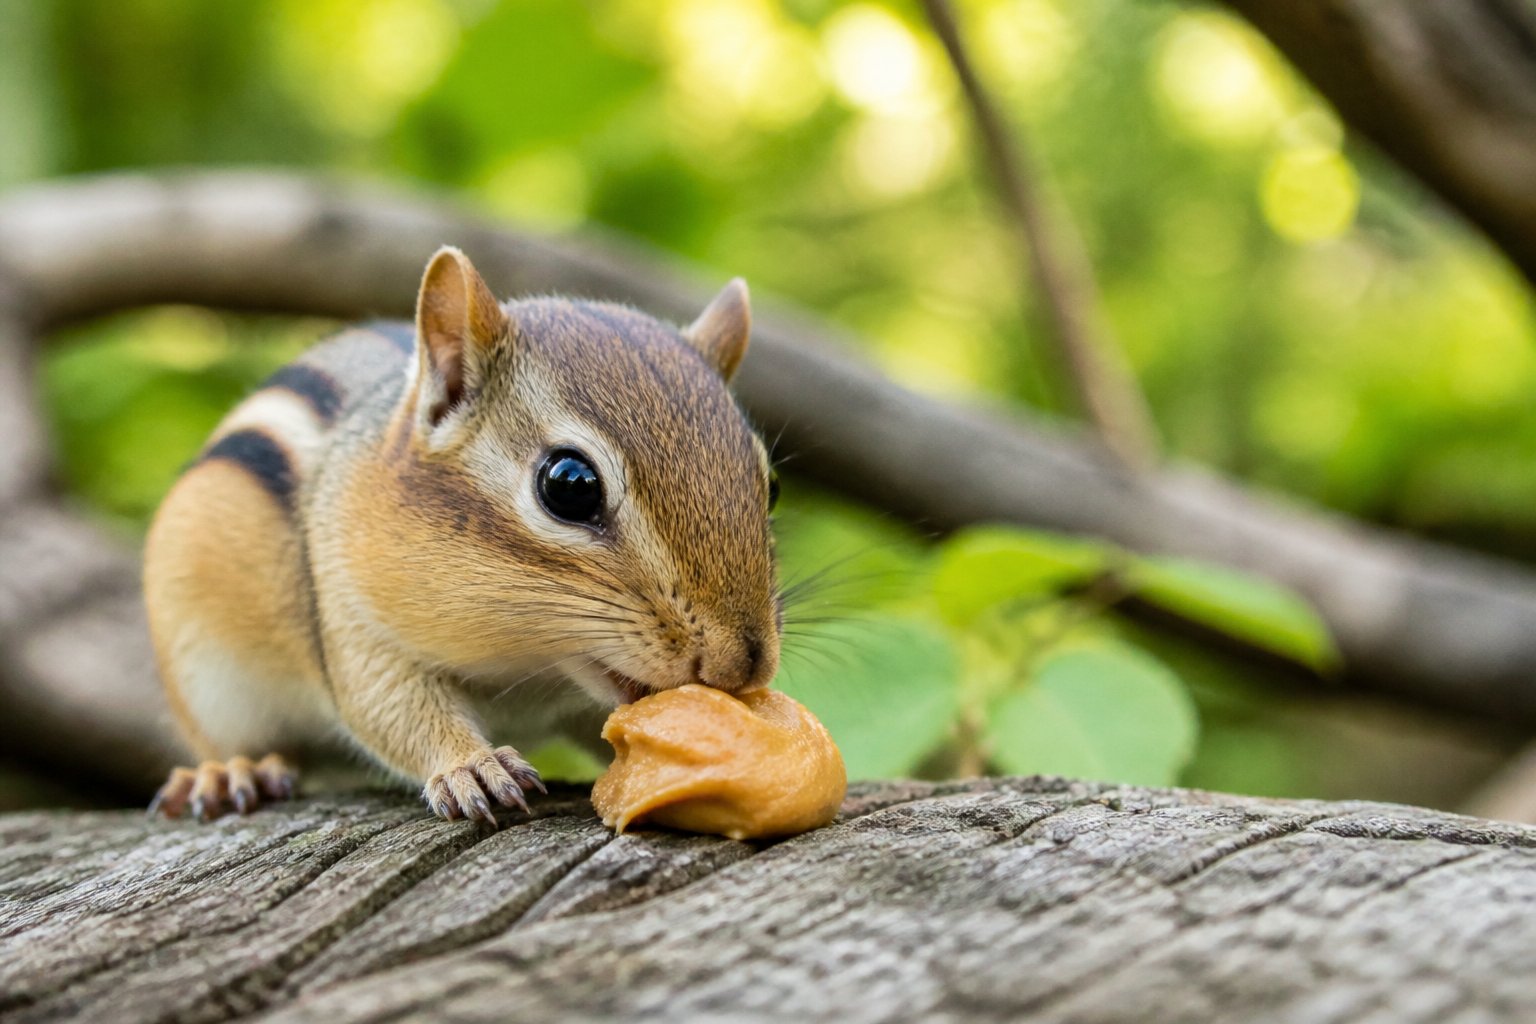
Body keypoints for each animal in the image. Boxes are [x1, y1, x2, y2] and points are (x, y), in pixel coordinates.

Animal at [143, 246, 781, 825]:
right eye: (569, 485)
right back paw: (229, 772)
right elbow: (395, 710)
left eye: (770, 486)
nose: (743, 665)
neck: (527, 664)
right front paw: (472, 767)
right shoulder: (354, 618)